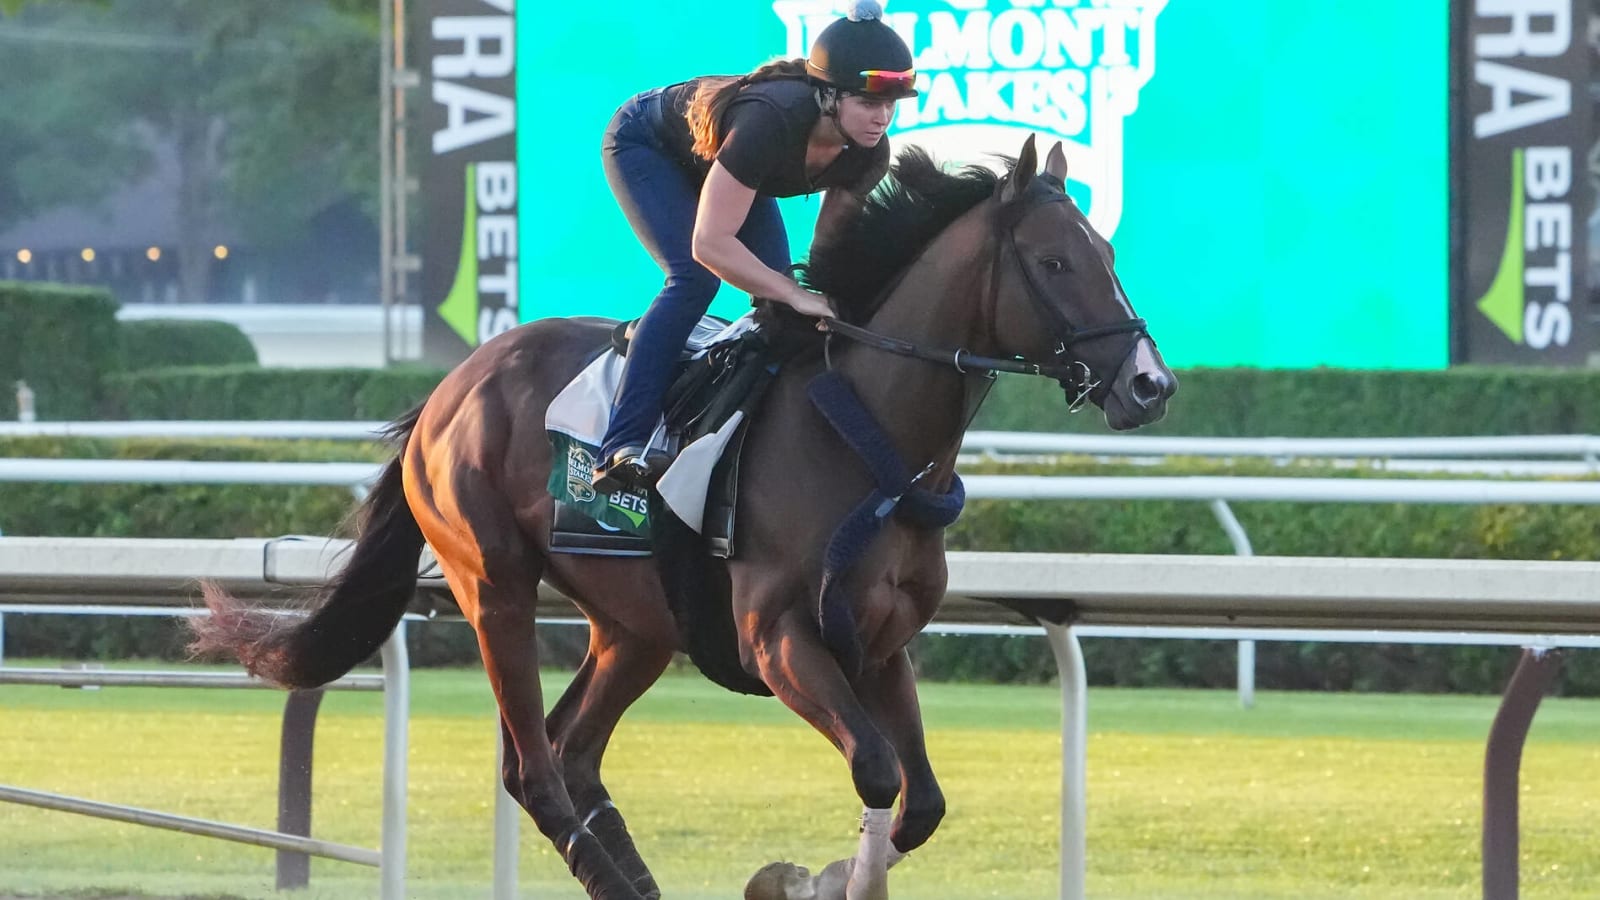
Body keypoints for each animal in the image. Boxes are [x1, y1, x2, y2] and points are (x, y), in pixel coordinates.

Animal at [190, 134, 1176, 899]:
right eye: (1054, 262)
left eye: (1110, 252)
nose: (1150, 385)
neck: (865, 436)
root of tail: (445, 393)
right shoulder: (775, 637)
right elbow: (876, 767)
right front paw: (809, 879)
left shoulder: (883, 641)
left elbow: (920, 798)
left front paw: (814, 873)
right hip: (494, 584)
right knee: (534, 770)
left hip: (635, 626)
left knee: (571, 753)